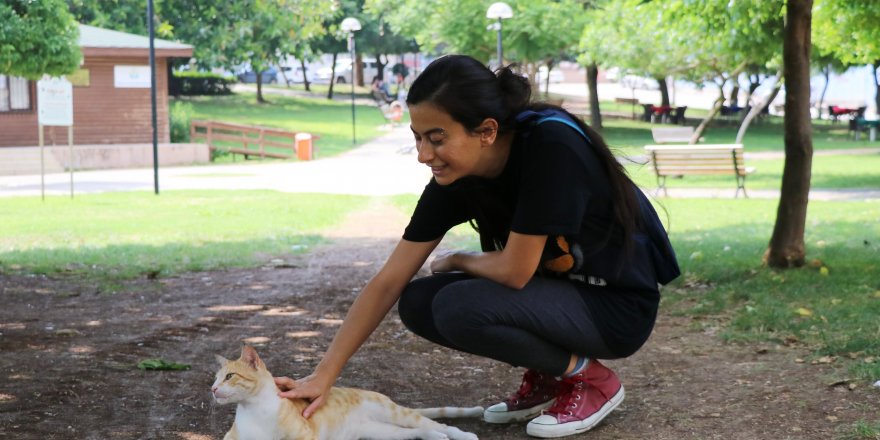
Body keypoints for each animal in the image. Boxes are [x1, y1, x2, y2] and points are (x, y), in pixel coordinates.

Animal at [212, 348, 482, 440]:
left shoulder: (305, 436)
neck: (254, 408)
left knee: (440, 424)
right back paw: (434, 437)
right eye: (215, 378)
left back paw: (464, 435)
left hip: (396, 414)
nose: (212, 389)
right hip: (380, 432)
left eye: (229, 376)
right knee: (416, 432)